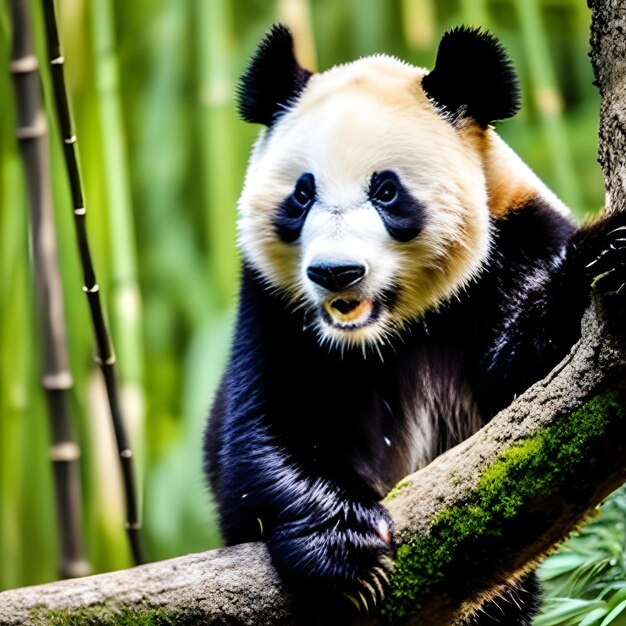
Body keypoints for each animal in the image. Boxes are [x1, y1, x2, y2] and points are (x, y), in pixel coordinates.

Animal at [204, 24, 624, 624]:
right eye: (303, 193)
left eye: (386, 191)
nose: (336, 273)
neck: (387, 329)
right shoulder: (274, 307)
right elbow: (260, 432)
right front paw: (347, 548)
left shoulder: (517, 240)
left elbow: (531, 394)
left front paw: (603, 254)